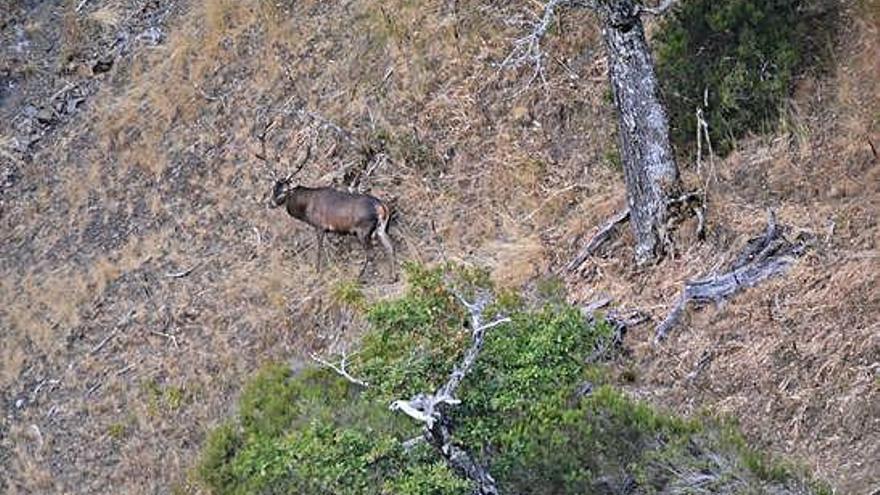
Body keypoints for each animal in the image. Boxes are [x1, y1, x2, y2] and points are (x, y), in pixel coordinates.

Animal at [256, 120, 398, 280]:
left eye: (285, 191)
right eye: (274, 188)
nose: (270, 203)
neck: (305, 209)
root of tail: (382, 207)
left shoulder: (320, 225)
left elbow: (319, 250)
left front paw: (317, 271)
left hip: (363, 229)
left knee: (371, 253)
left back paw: (360, 276)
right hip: (381, 228)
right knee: (390, 247)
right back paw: (393, 276)